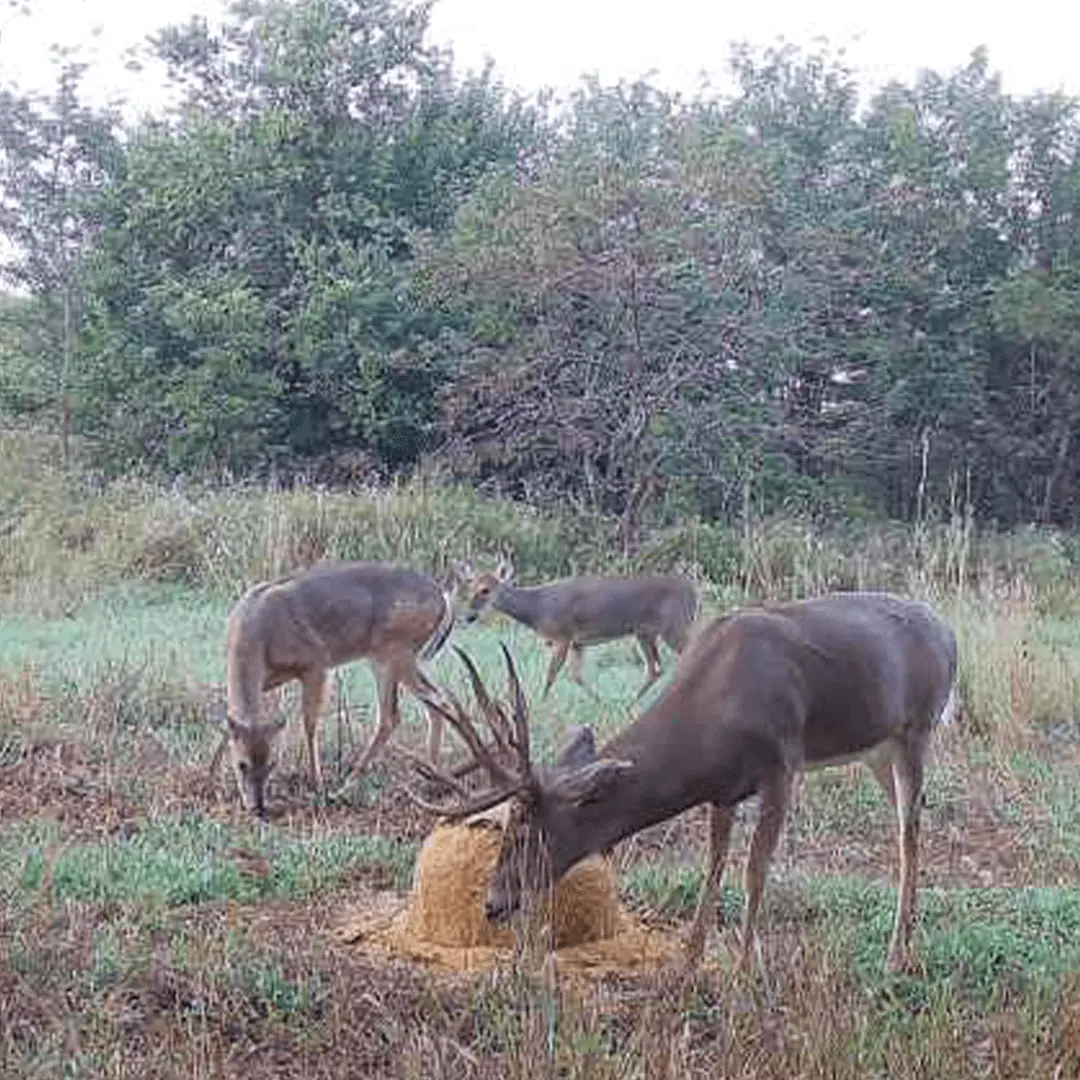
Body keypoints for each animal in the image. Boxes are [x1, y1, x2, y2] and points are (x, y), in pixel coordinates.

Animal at [210, 560, 456, 819]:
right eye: (241, 764)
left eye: (271, 763)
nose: (257, 807)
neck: (257, 634)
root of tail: (443, 596)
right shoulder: (266, 682)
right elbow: (227, 724)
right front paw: (211, 776)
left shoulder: (316, 662)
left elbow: (309, 723)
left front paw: (317, 785)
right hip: (389, 657)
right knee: (417, 708)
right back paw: (430, 776)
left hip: (395, 651)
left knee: (430, 701)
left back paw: (350, 786)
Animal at [403, 591, 958, 974]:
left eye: (524, 826)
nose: (493, 902)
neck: (713, 717)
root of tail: (946, 630)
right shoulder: (724, 789)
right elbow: (713, 866)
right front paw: (690, 960)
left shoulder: (782, 763)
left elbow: (754, 870)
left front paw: (743, 968)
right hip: (878, 752)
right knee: (908, 821)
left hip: (917, 728)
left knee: (910, 831)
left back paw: (897, 953)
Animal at [455, 556, 699, 700]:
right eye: (471, 587)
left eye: (486, 590)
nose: (468, 616)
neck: (537, 609)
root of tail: (693, 591)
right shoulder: (578, 643)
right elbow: (577, 675)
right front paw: (598, 699)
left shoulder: (562, 636)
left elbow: (551, 674)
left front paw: (541, 702)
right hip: (648, 632)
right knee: (656, 668)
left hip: (671, 626)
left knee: (668, 662)